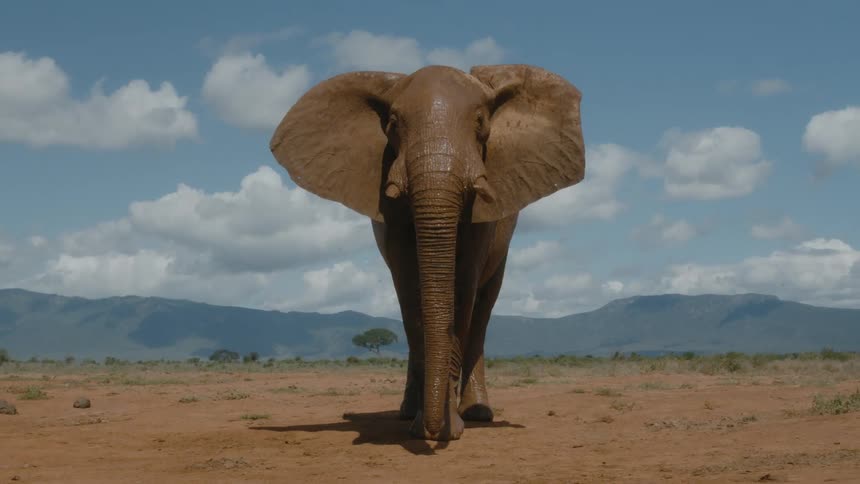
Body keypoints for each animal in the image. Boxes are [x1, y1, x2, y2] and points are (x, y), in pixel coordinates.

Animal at [269, 64, 585, 441]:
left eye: (481, 121)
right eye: (392, 124)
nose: (436, 432)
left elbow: (462, 286)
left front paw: (450, 427)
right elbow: (410, 289)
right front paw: (424, 426)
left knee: (484, 308)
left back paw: (478, 413)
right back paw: (408, 412)